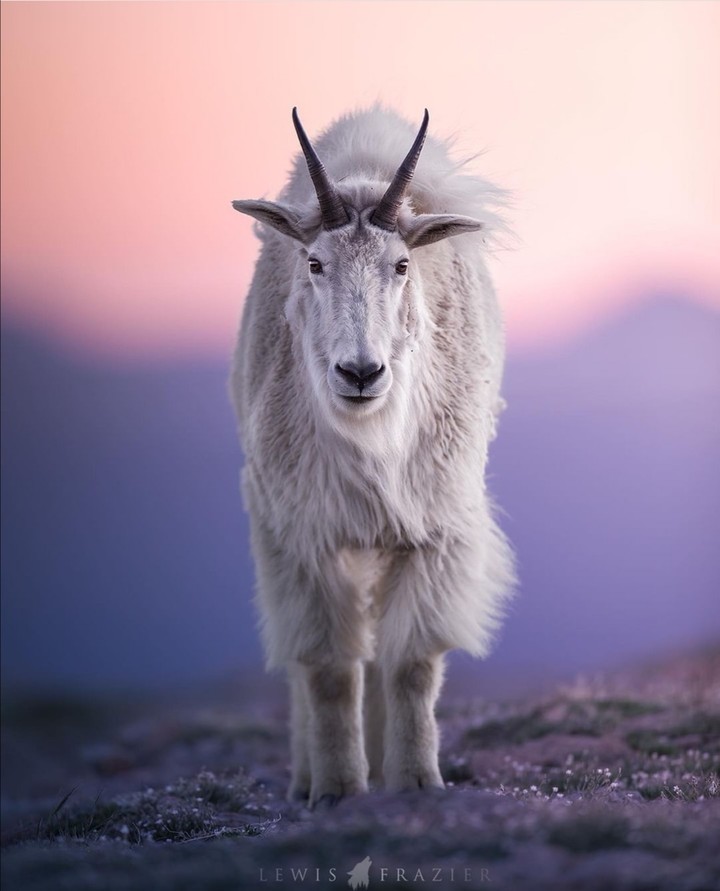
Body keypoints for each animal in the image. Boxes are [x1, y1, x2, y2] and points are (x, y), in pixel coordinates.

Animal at [230, 107, 515, 807]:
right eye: (314, 263)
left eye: (402, 265)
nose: (360, 372)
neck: (370, 441)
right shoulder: (304, 533)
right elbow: (329, 669)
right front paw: (336, 788)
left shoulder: (434, 529)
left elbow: (410, 663)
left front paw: (415, 780)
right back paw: (306, 776)